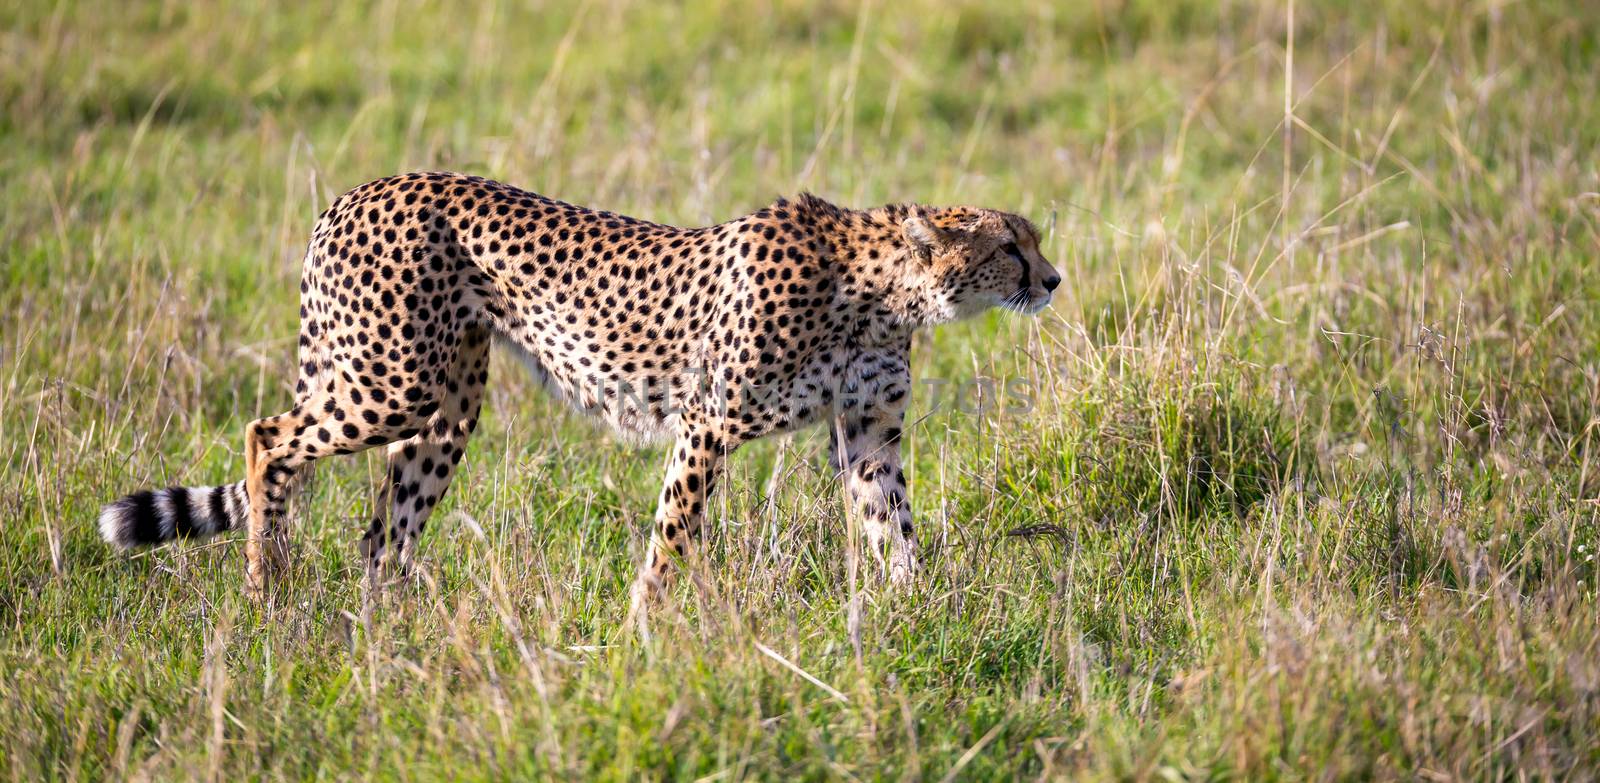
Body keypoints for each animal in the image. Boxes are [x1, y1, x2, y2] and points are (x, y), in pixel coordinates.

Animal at [93, 169, 1056, 611]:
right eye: (1010, 246)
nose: (1052, 279)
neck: (877, 291)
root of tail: (358, 190)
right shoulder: (707, 422)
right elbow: (672, 534)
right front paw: (642, 630)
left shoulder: (866, 435)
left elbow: (895, 529)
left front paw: (922, 614)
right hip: (388, 380)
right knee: (267, 437)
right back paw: (267, 586)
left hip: (445, 407)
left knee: (382, 527)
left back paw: (386, 624)